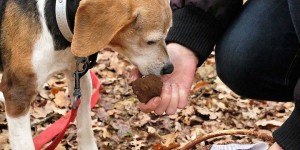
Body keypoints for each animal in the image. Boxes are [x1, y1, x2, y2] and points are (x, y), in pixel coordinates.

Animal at [0, 0, 172, 149]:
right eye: (151, 41)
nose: (170, 68)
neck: (54, 18)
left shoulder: (79, 78)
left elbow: (85, 125)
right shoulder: (18, 95)